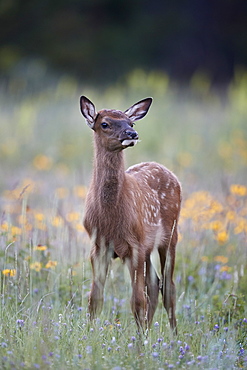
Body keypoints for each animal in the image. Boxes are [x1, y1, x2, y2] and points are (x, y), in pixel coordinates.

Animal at [80, 96, 180, 332]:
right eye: (105, 124)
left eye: (131, 122)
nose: (132, 134)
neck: (110, 216)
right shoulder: (99, 246)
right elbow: (94, 298)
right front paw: (88, 333)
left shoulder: (134, 245)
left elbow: (137, 301)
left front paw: (140, 340)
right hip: (148, 246)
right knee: (155, 284)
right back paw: (150, 330)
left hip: (170, 235)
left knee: (168, 287)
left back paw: (173, 335)